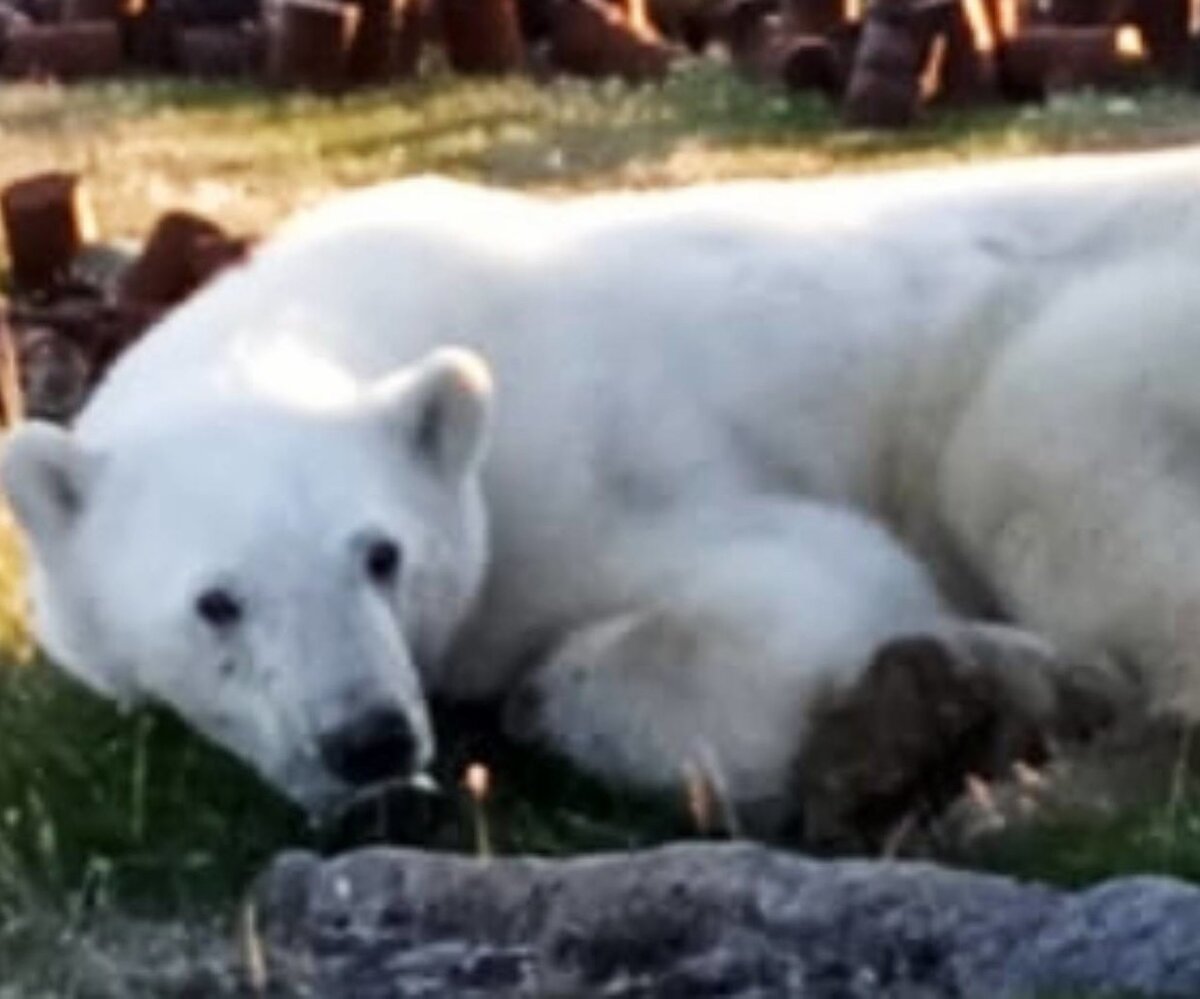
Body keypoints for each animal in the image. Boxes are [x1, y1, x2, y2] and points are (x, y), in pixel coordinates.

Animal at [2, 144, 1200, 821]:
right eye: (218, 601)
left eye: (383, 554)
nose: (368, 740)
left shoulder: (589, 468)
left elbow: (809, 587)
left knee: (1038, 461)